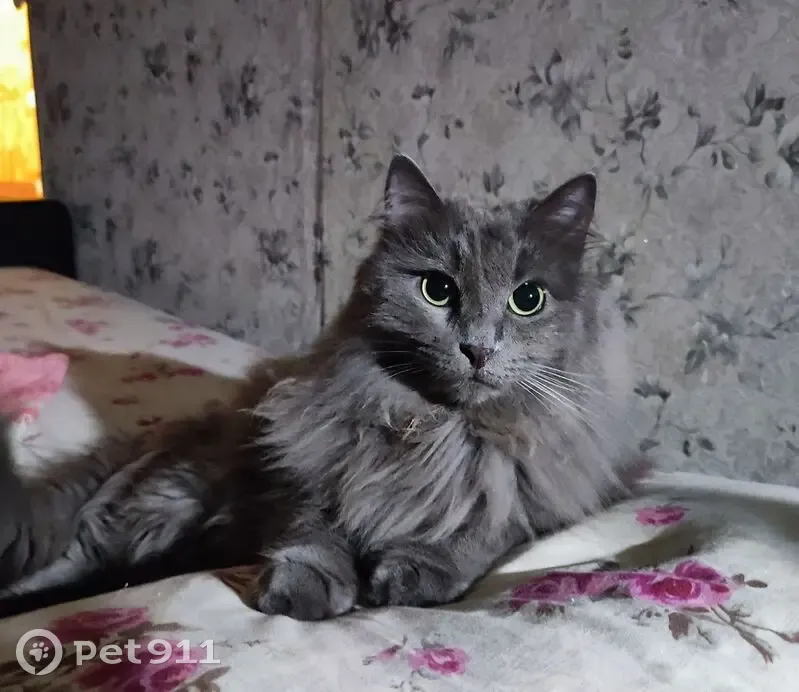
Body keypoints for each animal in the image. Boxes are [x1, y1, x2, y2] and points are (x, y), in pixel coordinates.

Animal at [0, 154, 650, 620]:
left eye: (527, 299)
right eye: (437, 290)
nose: (477, 349)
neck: (433, 429)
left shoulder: (536, 491)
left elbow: (478, 526)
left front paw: (415, 569)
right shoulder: (309, 466)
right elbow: (310, 534)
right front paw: (304, 588)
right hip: (161, 503)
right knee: (72, 556)